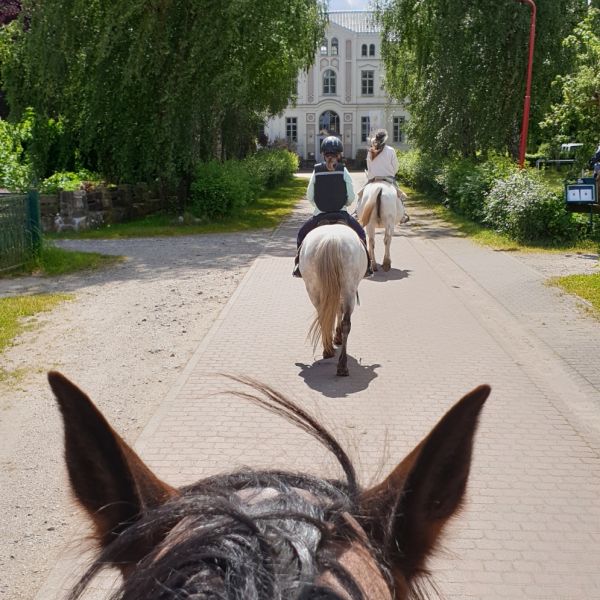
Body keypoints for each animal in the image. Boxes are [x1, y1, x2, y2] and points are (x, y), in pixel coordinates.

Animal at [298, 225, 366, 376]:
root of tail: (331, 239)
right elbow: (339, 312)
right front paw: (337, 336)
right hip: (348, 289)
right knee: (346, 323)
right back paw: (342, 365)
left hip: (313, 288)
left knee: (323, 317)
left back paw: (328, 351)